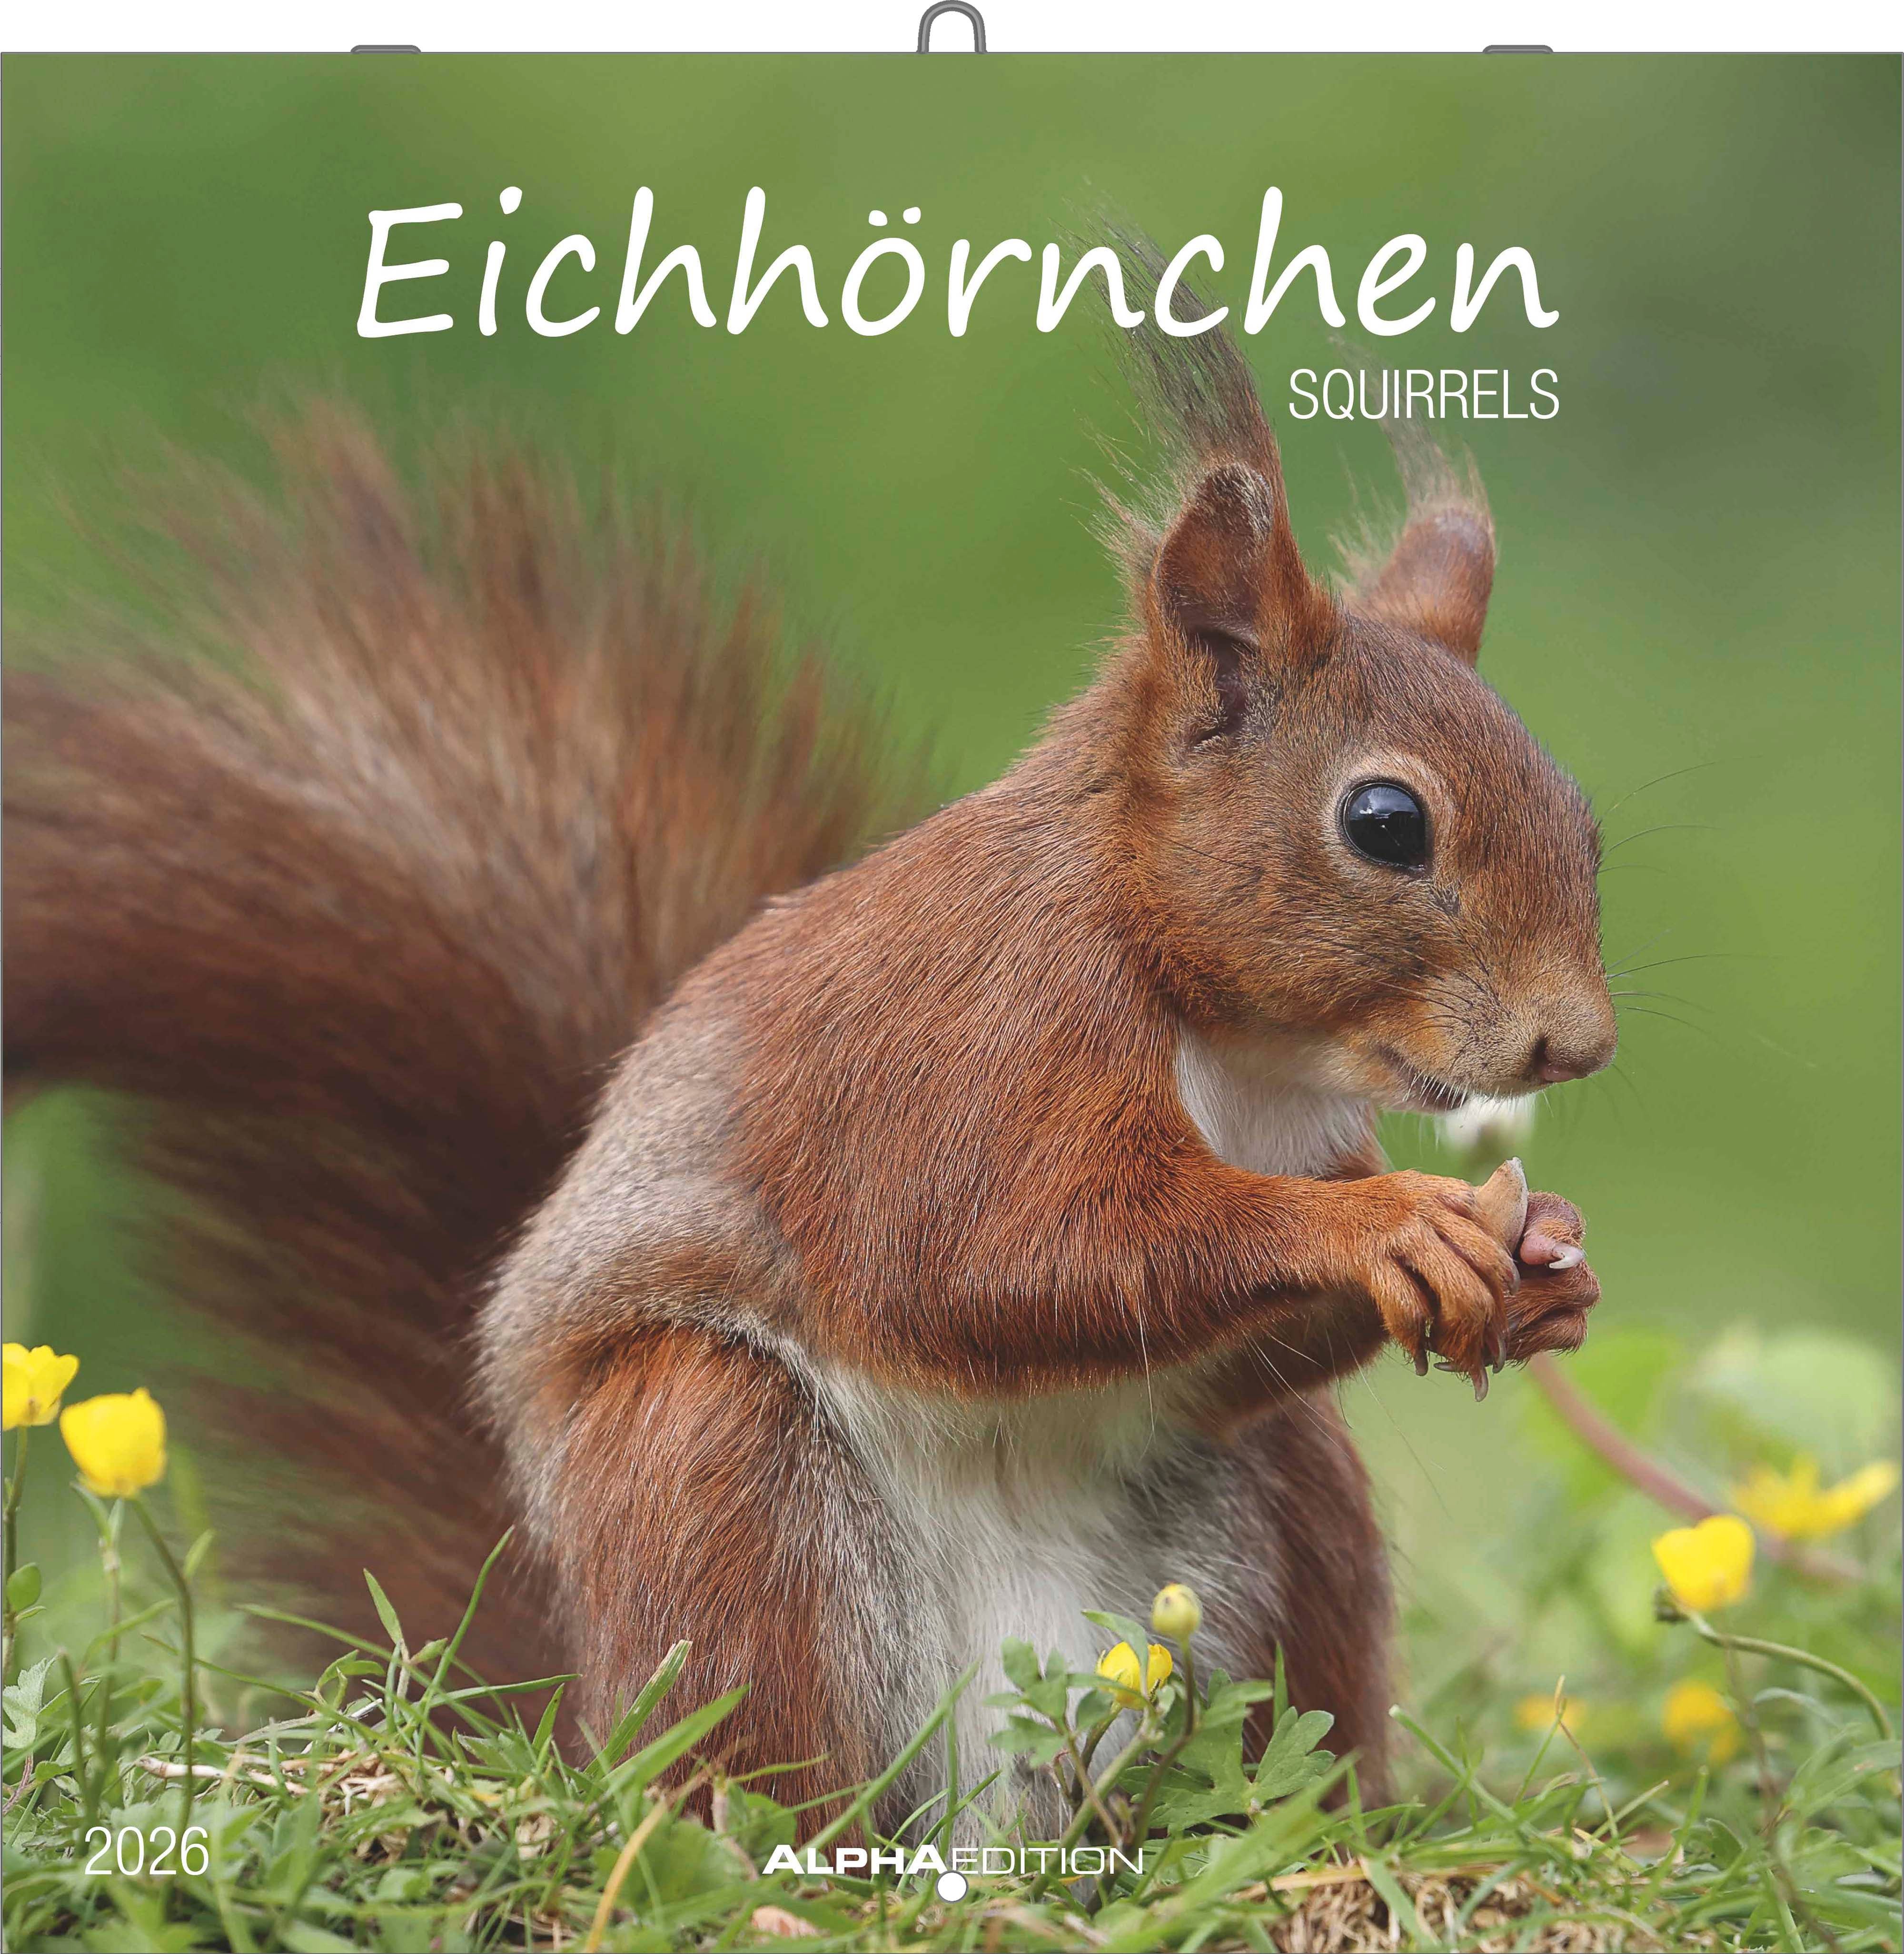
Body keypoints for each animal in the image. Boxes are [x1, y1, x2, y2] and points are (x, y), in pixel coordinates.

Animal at [3, 312, 1612, 1833]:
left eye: (1581, 816)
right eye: (1387, 822)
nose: (1577, 1044)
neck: (1225, 1035)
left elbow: (1210, 1345)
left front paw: (1543, 1265)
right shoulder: (969, 1041)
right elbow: (1000, 1258)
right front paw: (1389, 1225)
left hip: (1277, 1524)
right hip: (712, 1483)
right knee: (753, 1761)